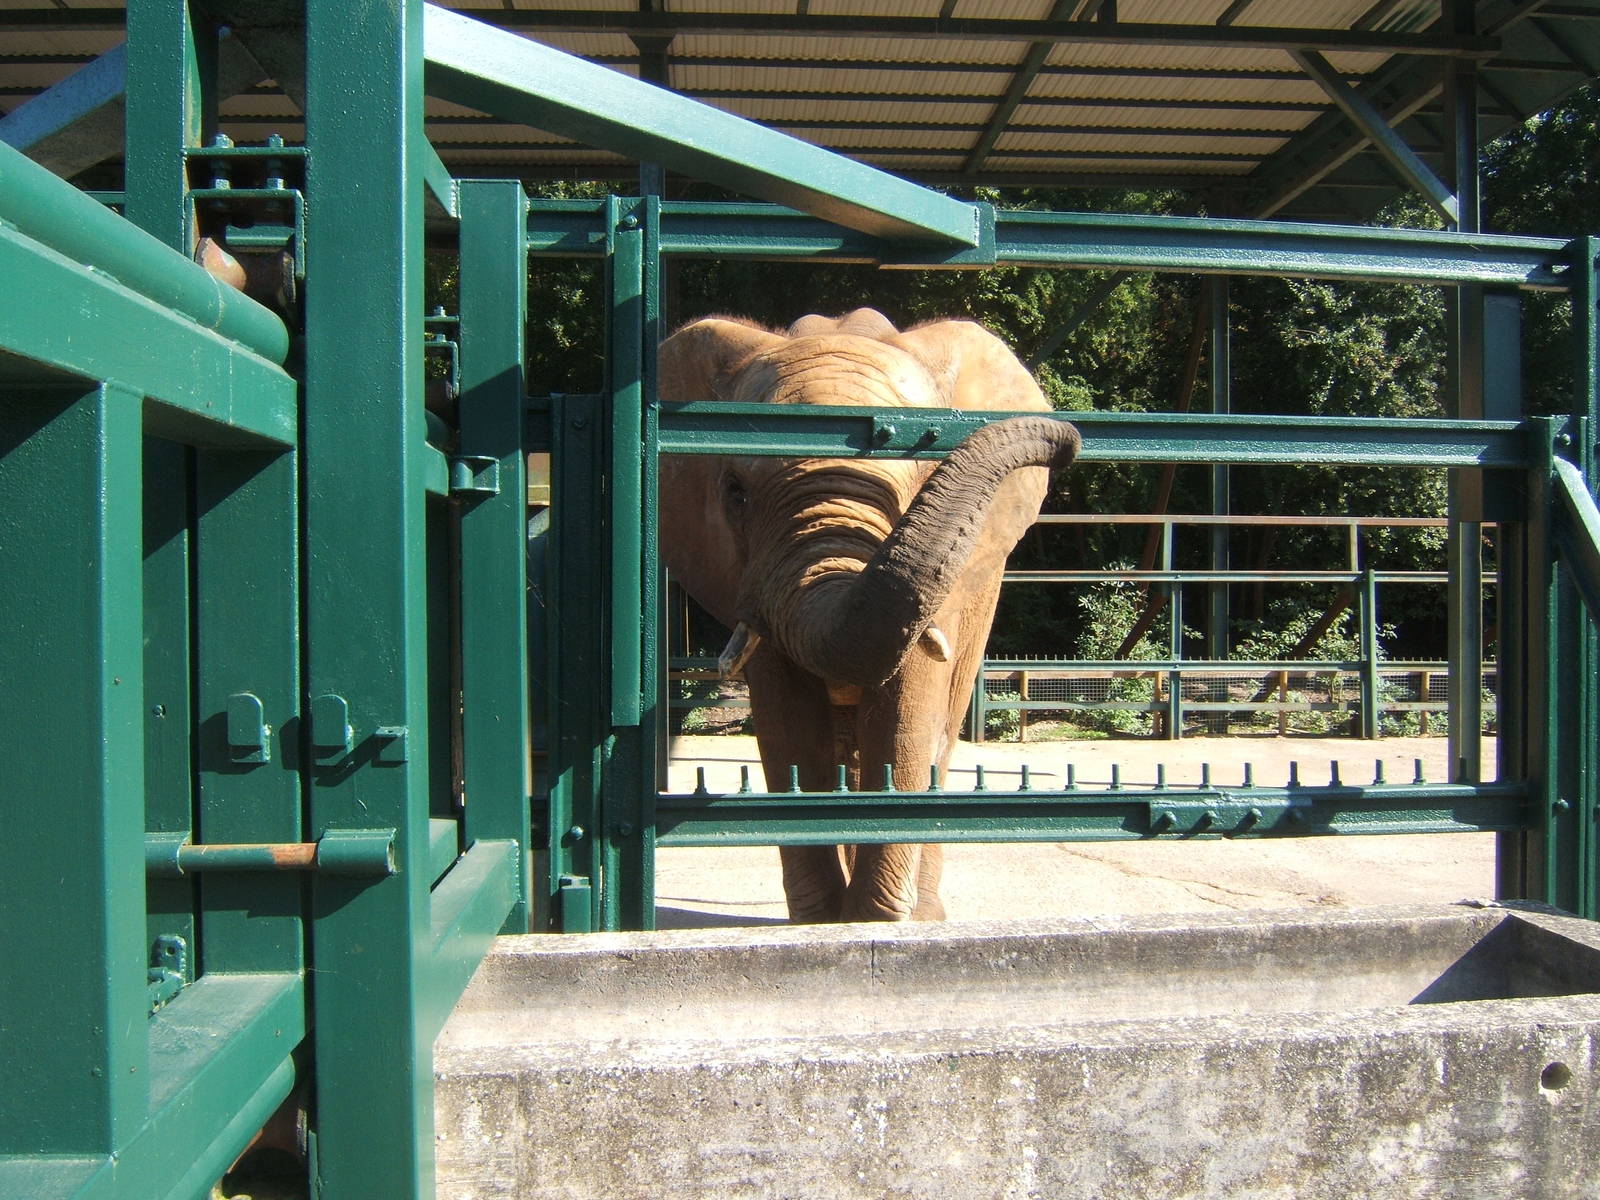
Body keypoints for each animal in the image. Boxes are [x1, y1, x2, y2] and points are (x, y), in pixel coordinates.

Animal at [659, 308, 1080, 922]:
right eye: (735, 493)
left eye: (926, 479)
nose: (1067, 443)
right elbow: (788, 725)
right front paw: (822, 926)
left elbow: (907, 716)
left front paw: (874, 922)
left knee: (939, 739)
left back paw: (924, 914)